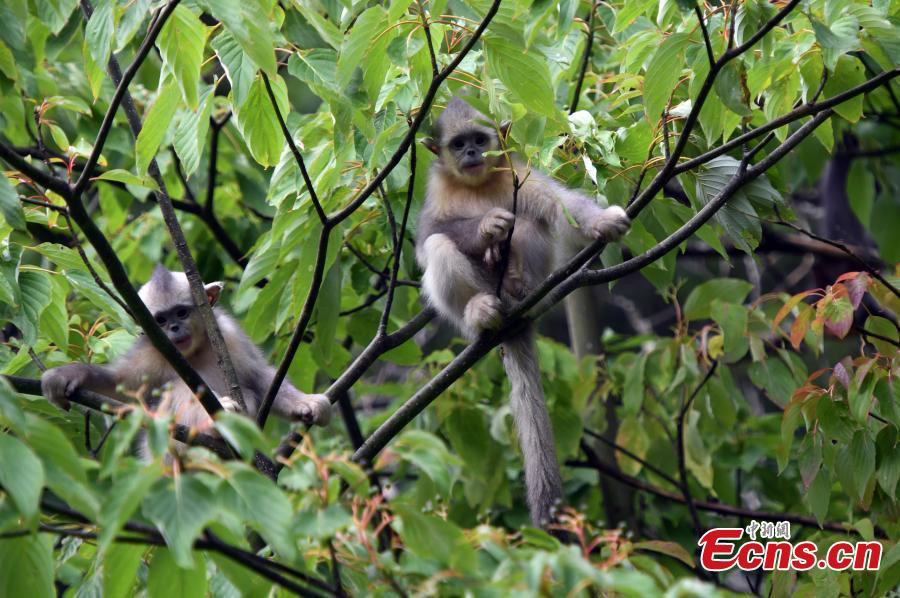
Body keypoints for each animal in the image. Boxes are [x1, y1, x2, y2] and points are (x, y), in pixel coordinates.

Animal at [42, 268, 330, 454]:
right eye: (160, 320)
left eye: (181, 313)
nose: (174, 329)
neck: (194, 353)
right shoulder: (152, 351)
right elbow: (119, 383)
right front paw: (67, 375)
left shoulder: (228, 334)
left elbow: (259, 378)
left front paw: (307, 402)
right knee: (179, 388)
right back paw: (216, 424)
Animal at [416, 96, 632, 528]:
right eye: (458, 143)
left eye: (480, 140)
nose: (471, 154)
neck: (477, 184)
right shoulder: (437, 192)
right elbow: (429, 234)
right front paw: (488, 226)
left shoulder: (517, 175)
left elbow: (559, 206)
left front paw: (602, 221)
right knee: (438, 245)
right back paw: (481, 311)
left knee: (531, 222)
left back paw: (516, 282)